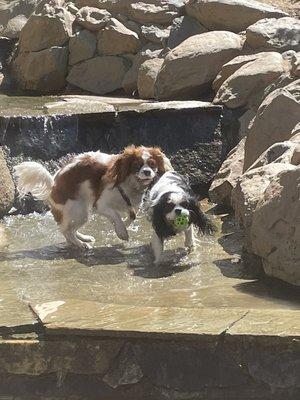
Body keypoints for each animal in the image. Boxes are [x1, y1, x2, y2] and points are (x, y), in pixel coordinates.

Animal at [14, 145, 171, 248]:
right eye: (137, 166)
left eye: (152, 165)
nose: (147, 172)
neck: (129, 183)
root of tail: (53, 183)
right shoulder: (101, 204)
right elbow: (116, 216)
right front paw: (122, 232)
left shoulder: (131, 203)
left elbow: (132, 216)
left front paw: (122, 227)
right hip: (78, 210)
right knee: (65, 230)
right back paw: (80, 244)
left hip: (81, 213)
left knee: (70, 229)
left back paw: (83, 238)